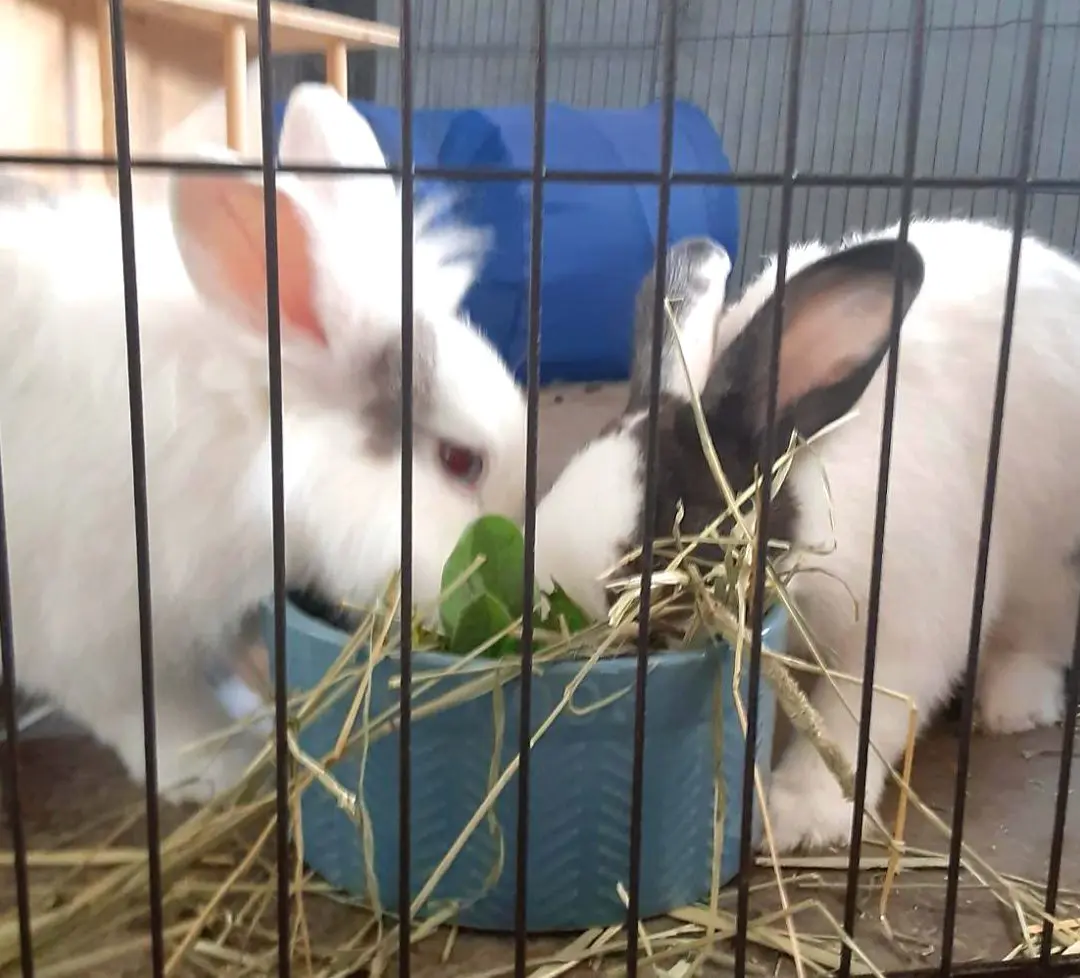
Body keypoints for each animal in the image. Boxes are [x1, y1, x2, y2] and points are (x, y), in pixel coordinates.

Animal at [533, 219, 1080, 852]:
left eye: (679, 512)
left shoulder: (908, 623)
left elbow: (856, 718)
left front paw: (797, 816)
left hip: (1051, 566)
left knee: (1039, 634)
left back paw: (1014, 706)